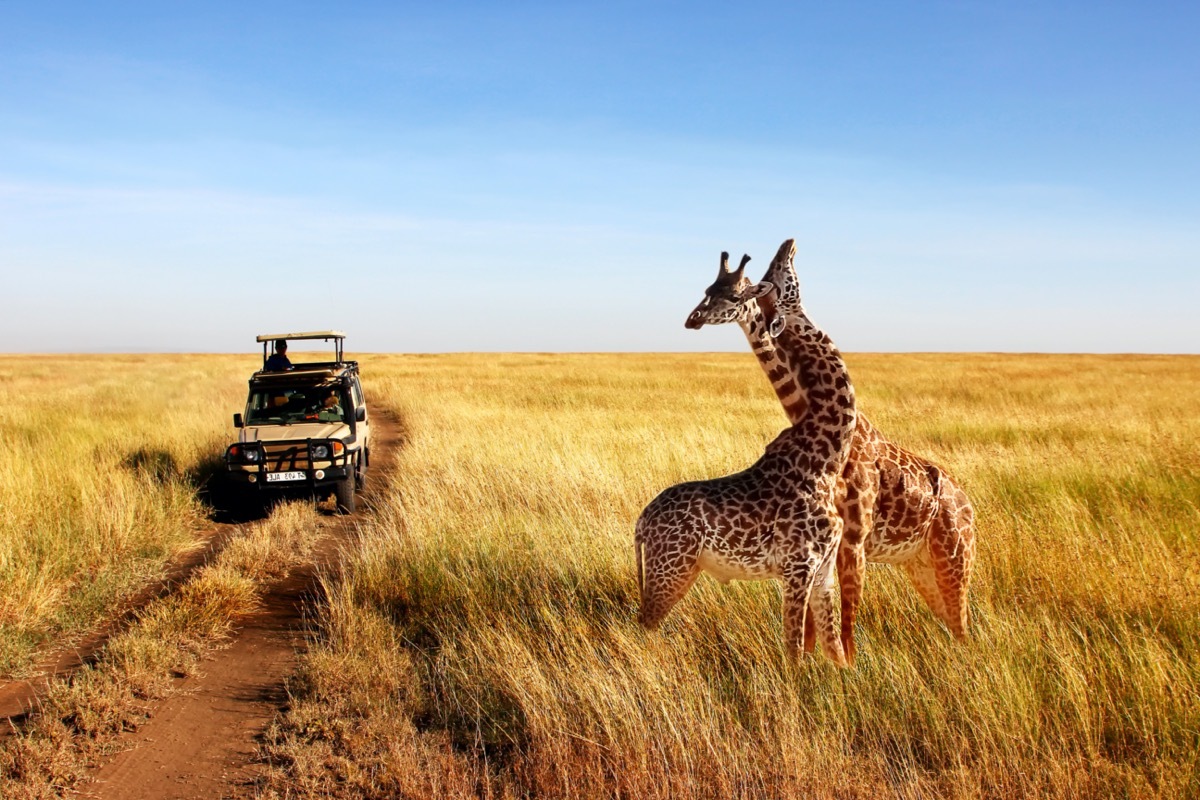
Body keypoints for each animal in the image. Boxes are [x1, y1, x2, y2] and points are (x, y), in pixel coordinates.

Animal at [633, 255, 859, 662]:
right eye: (708, 290)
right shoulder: (797, 567)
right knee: (644, 624)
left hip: (676, 569)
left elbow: (834, 650)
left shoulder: (824, 571)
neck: (827, 458)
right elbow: (794, 650)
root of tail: (641, 522)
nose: (692, 318)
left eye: (733, 294)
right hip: (670, 569)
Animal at [686, 241, 974, 662]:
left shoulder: (851, 539)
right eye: (708, 289)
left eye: (736, 293)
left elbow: (843, 620)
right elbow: (816, 622)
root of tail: (968, 502)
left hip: (954, 557)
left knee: (962, 623)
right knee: (953, 623)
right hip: (920, 564)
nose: (692, 320)